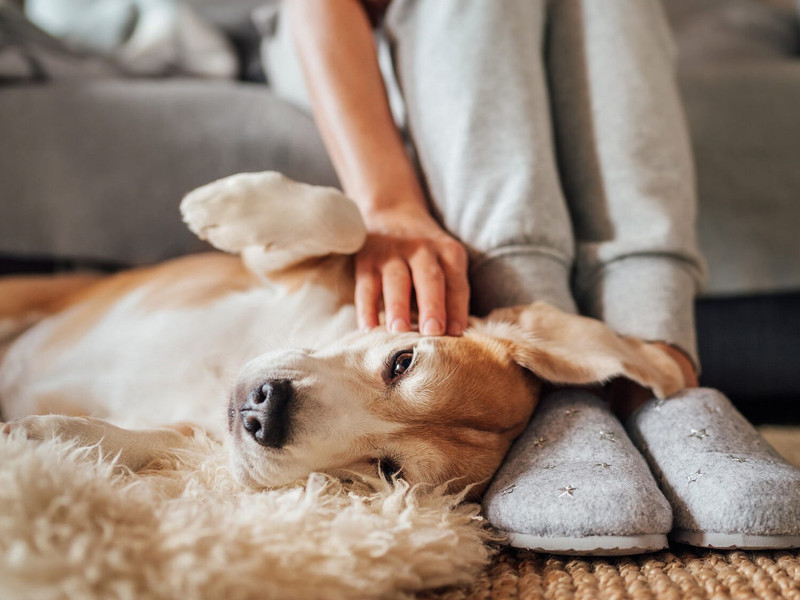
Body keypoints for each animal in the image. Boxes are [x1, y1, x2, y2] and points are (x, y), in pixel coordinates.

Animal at [0, 172, 684, 496]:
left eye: (388, 470)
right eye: (403, 360)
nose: (265, 412)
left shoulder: (196, 437)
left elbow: (142, 441)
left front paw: (43, 438)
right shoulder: (286, 273)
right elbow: (346, 219)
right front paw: (223, 206)